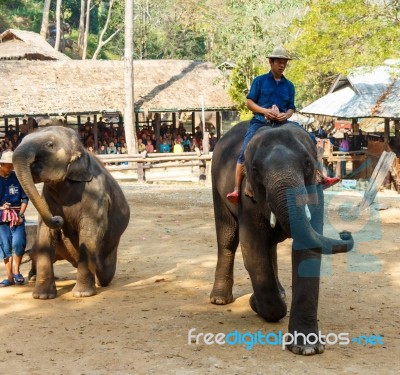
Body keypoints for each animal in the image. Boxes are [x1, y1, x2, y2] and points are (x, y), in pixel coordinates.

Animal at [12, 128, 130, 302]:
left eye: (50, 144)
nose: (58, 219)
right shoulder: (46, 198)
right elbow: (45, 232)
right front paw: (42, 296)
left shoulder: (96, 196)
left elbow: (90, 232)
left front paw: (82, 294)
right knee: (35, 250)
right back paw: (32, 277)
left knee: (105, 276)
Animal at [209, 122, 354, 356]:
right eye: (255, 170)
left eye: (308, 164)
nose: (345, 233)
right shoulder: (248, 197)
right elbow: (253, 250)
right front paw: (256, 304)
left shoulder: (316, 191)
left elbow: (307, 251)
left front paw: (308, 348)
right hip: (218, 185)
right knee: (228, 237)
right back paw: (220, 299)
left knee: (271, 246)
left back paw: (281, 292)